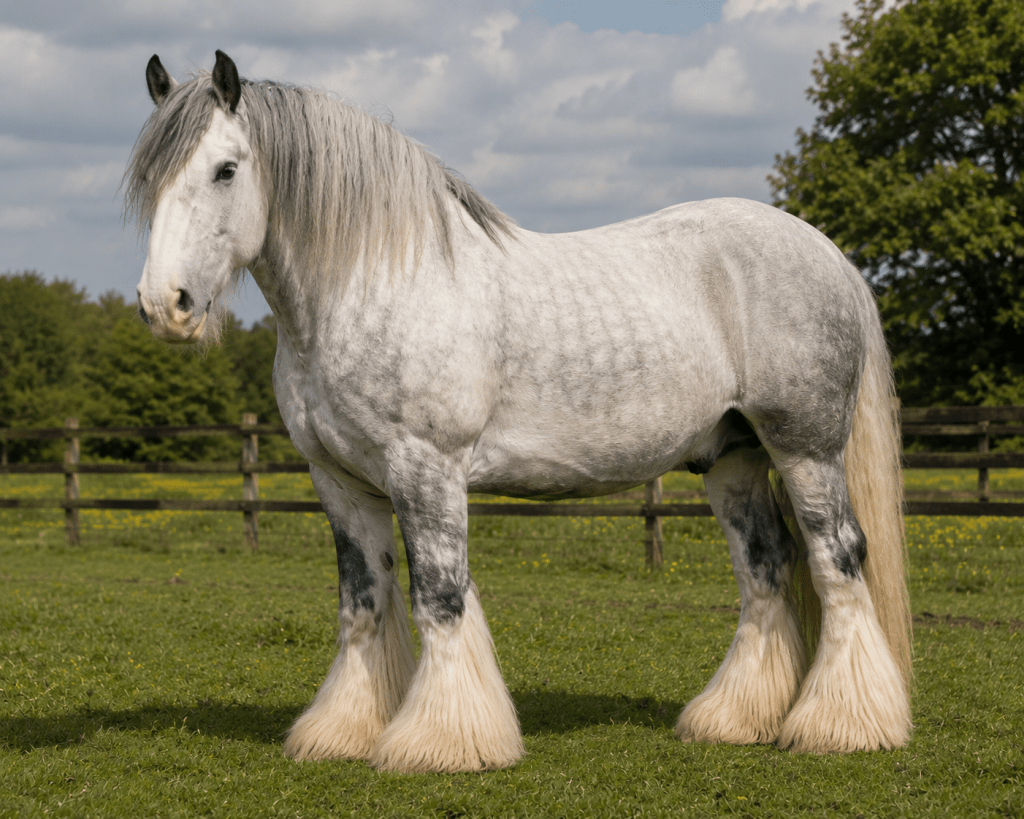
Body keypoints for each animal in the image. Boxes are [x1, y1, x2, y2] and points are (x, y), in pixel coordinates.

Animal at [126, 51, 912, 773]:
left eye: (226, 169)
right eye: (148, 178)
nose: (166, 307)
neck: (371, 282)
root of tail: (826, 252)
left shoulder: (427, 470)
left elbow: (440, 596)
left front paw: (442, 742)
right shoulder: (340, 482)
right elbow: (363, 601)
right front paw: (344, 731)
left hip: (804, 447)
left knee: (839, 558)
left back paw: (841, 725)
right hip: (732, 458)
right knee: (766, 568)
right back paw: (734, 719)